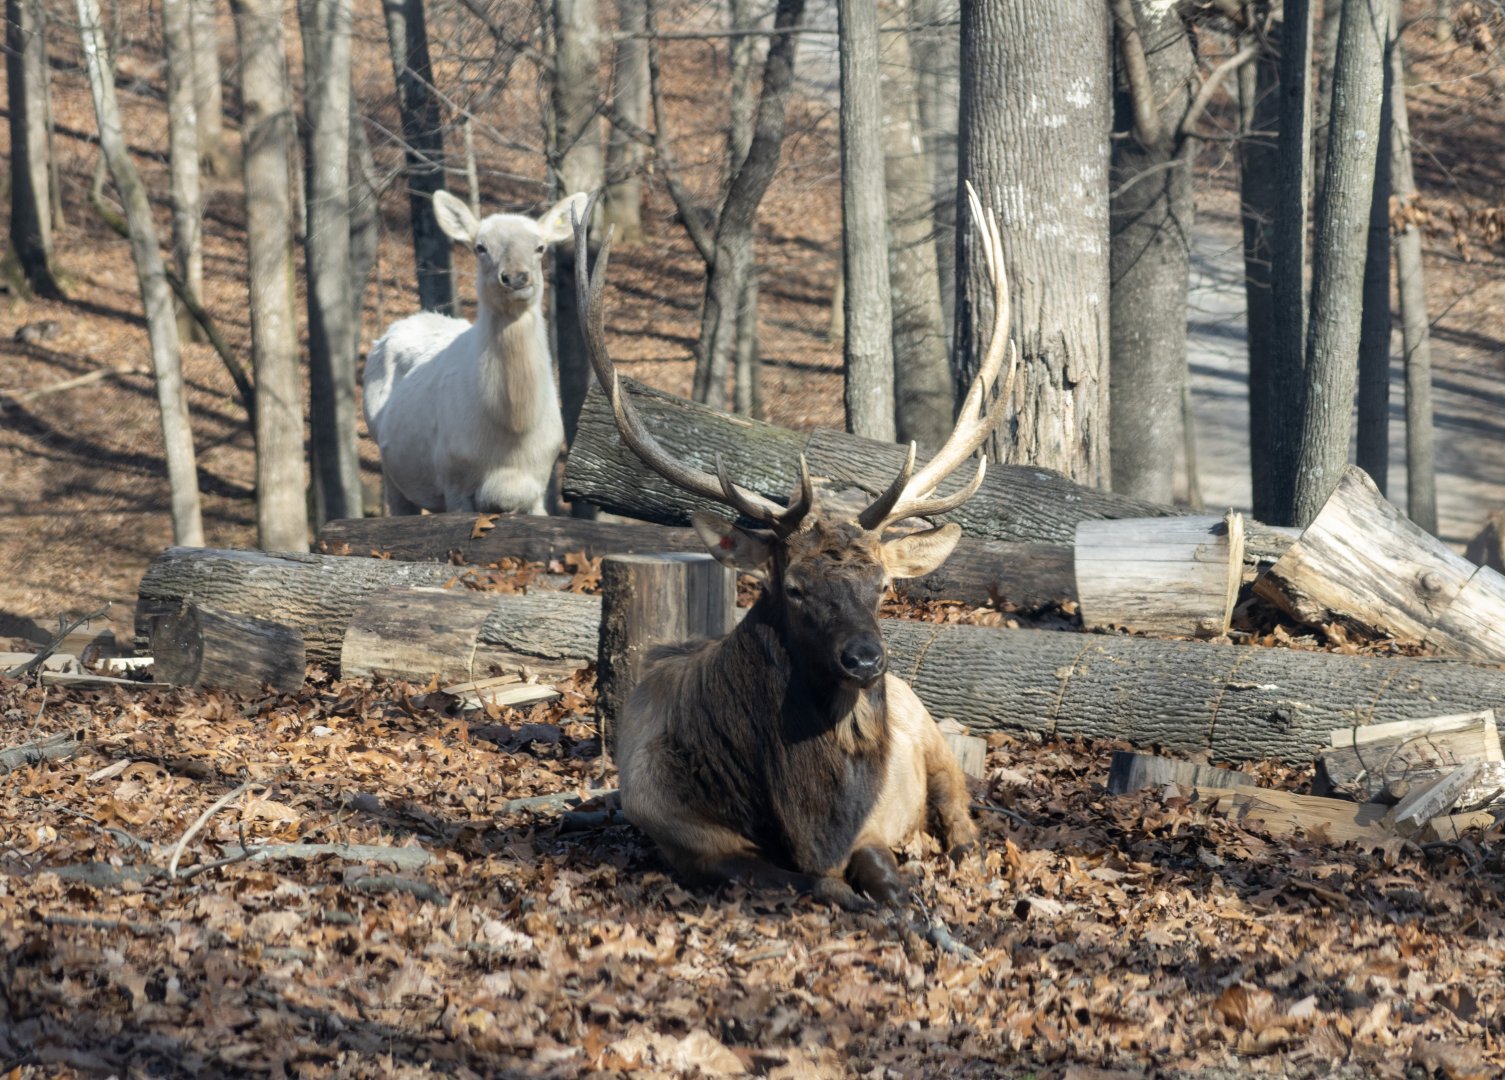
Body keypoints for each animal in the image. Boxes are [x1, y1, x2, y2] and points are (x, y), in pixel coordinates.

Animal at [362, 190, 588, 516]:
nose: (516, 277)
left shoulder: (538, 485)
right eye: (480, 247)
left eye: (540, 247)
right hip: (390, 468)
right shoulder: (455, 480)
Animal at [574, 185, 1017, 911]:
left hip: (933, 738)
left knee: (964, 819)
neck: (803, 819)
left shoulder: (871, 823)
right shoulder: (684, 838)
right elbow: (811, 883)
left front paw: (905, 894)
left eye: (883, 586)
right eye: (793, 588)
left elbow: (873, 867)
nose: (865, 659)